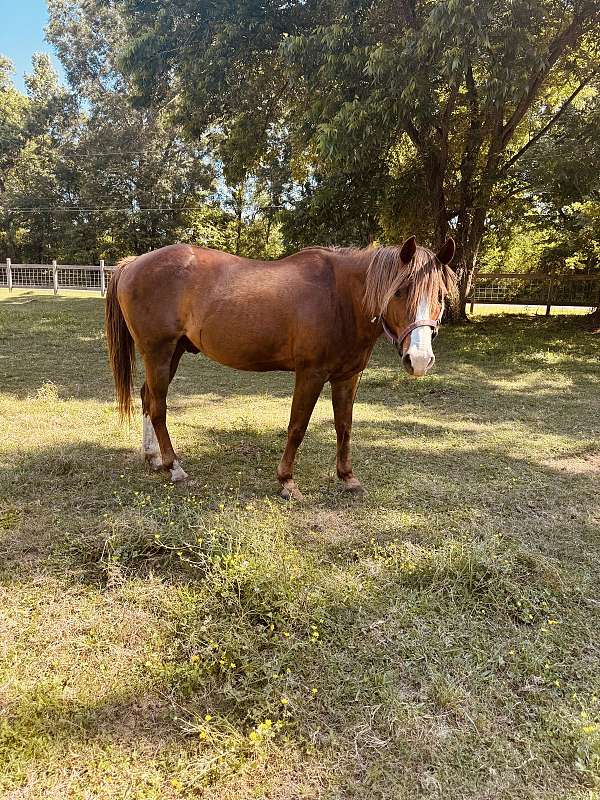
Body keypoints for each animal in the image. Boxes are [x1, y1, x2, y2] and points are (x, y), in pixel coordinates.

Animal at [105, 235, 456, 499]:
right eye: (399, 291)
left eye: (439, 294)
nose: (419, 360)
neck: (339, 296)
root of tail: (132, 264)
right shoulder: (310, 374)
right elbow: (297, 427)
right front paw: (287, 481)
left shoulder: (347, 377)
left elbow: (344, 427)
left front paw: (347, 477)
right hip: (158, 352)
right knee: (158, 407)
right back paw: (174, 467)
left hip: (172, 353)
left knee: (148, 398)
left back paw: (153, 458)